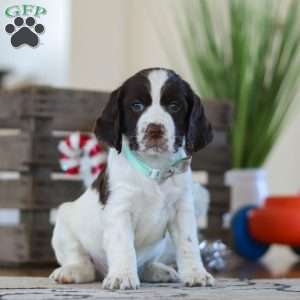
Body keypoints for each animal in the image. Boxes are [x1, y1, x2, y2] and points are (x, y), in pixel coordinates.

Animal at [50, 67, 214, 288]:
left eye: (174, 106)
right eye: (136, 106)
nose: (155, 129)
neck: (154, 170)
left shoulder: (183, 209)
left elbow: (189, 243)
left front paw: (196, 274)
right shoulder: (119, 210)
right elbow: (123, 245)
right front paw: (122, 276)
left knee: (145, 264)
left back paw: (157, 271)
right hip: (65, 221)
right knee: (83, 263)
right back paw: (72, 271)